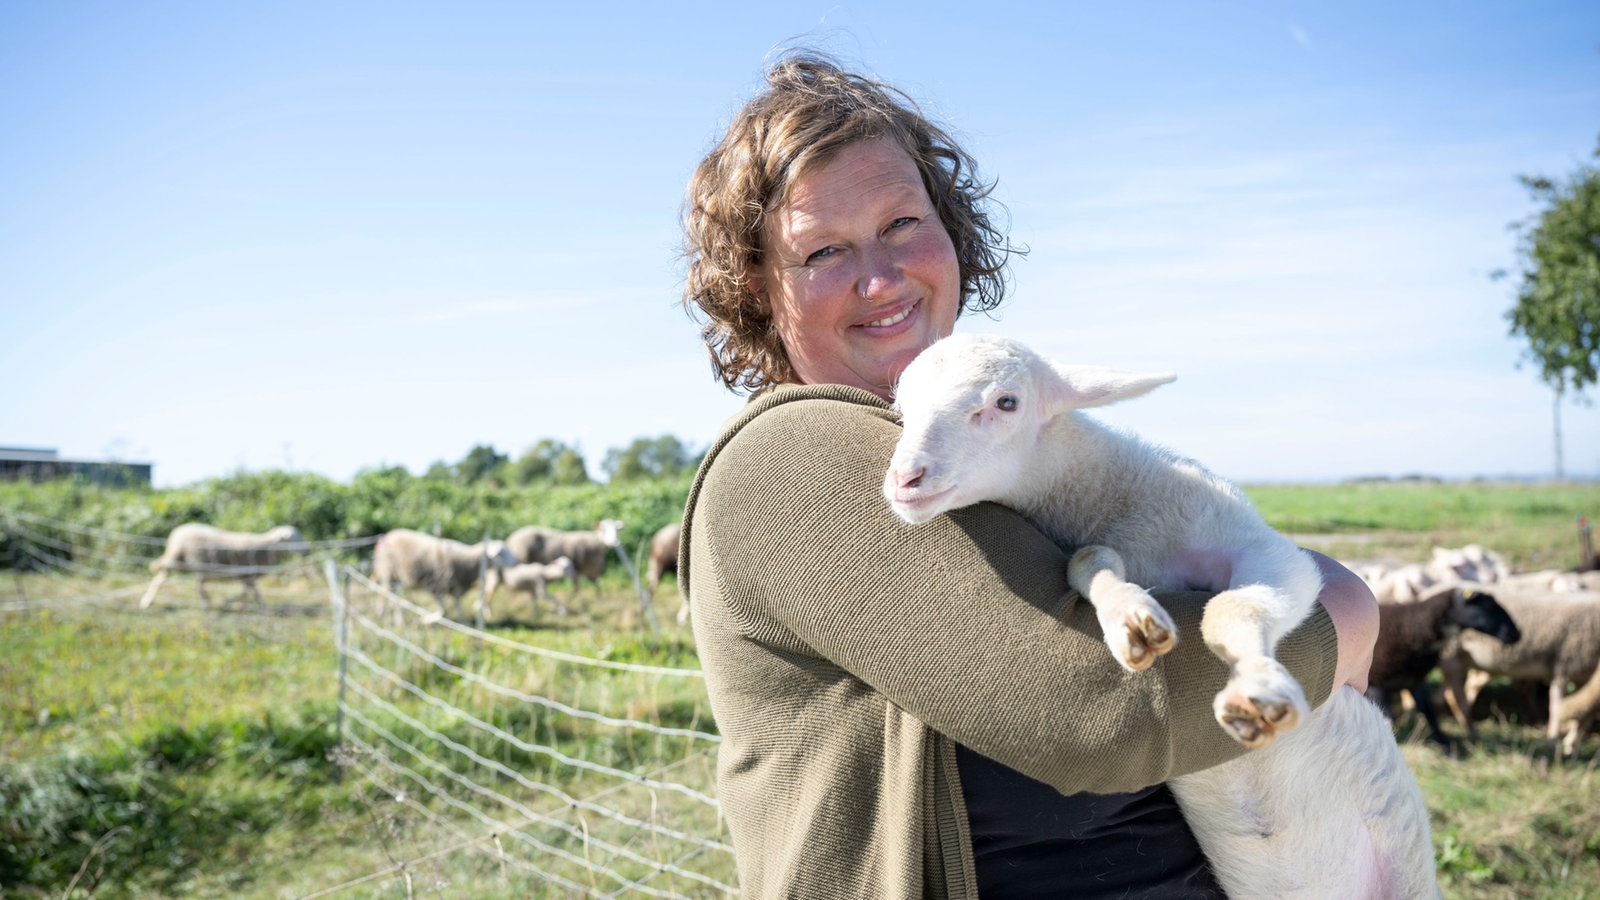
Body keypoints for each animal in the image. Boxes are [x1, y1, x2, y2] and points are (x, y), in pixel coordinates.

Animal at [139, 518, 304, 608]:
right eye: (293, 537)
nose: (306, 550)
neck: (266, 547)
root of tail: (175, 533)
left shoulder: (247, 575)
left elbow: (248, 592)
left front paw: (239, 604)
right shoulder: (247, 573)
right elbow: (252, 592)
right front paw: (235, 603)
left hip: (197, 564)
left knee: (199, 585)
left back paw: (206, 602)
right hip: (176, 559)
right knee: (160, 580)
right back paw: (146, 602)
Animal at [371, 522, 515, 621]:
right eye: (501, 552)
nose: (517, 561)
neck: (467, 560)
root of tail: (384, 538)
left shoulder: (456, 586)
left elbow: (458, 607)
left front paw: (464, 623)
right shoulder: (436, 585)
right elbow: (443, 610)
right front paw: (429, 620)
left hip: (394, 576)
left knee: (388, 594)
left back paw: (389, 616)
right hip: (389, 572)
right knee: (387, 594)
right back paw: (390, 617)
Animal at [883, 331, 1446, 896]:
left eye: (1006, 402)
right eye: (902, 410)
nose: (904, 479)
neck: (1114, 504)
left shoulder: (1260, 547)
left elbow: (1226, 608)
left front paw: (1255, 690)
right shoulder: (1101, 545)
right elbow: (1088, 561)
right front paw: (1129, 618)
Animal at [1369, 582, 1516, 743]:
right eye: (1485, 606)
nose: (1516, 633)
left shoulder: (1415, 681)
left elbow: (1431, 716)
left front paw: (1446, 745)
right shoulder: (1376, 683)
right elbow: (1388, 718)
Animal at [1440, 582, 1600, 749]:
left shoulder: (1581, 675)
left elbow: (1586, 714)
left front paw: (1570, 743)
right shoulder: (1563, 668)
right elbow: (1557, 707)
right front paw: (1554, 742)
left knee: (1456, 691)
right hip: (1452, 655)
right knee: (1457, 695)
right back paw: (1469, 727)